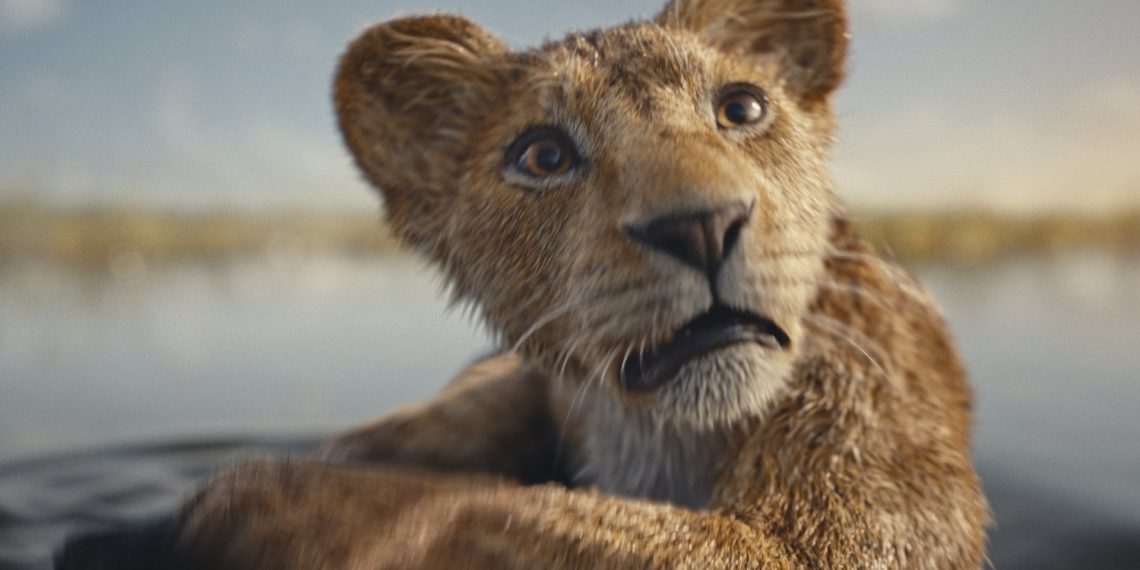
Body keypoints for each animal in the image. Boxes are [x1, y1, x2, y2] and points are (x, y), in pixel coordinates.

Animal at [58, 0, 990, 568]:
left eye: (743, 108)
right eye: (543, 155)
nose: (701, 225)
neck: (655, 433)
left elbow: (486, 511)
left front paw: (256, 503)